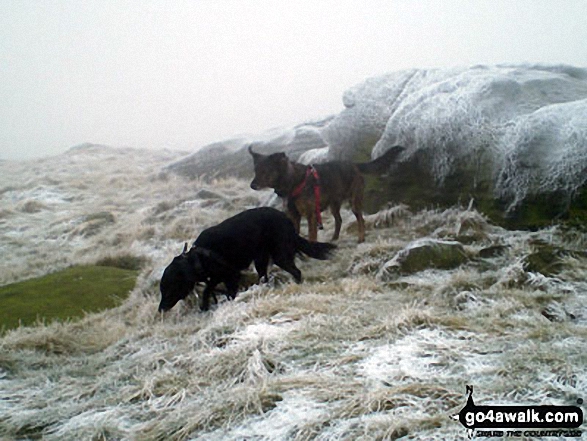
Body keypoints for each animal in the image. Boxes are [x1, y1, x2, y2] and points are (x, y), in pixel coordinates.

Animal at [158, 208, 338, 312]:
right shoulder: (220, 276)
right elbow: (209, 289)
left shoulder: (231, 275)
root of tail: (287, 221)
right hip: (261, 260)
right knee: (264, 277)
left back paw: (296, 286)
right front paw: (206, 306)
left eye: (168, 289)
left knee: (296, 271)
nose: (160, 309)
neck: (199, 258)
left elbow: (222, 291)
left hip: (279, 255)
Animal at [248, 147, 404, 244]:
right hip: (334, 204)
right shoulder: (294, 215)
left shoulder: (311, 215)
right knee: (339, 220)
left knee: (361, 219)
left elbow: (312, 235)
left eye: (266, 171)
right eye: (255, 171)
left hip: (354, 201)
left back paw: (361, 238)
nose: (252, 185)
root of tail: (353, 164)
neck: (293, 181)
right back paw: (334, 238)